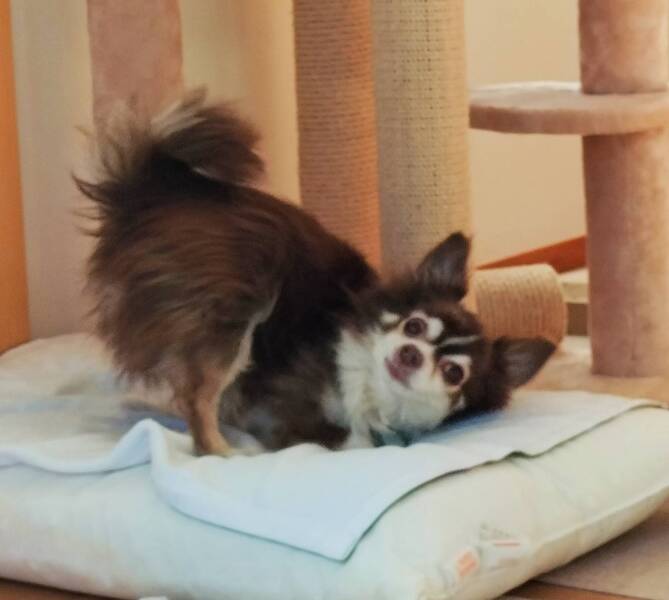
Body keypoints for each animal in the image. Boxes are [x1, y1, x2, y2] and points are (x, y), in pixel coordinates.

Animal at [75, 89, 555, 455]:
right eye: (414, 326)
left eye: (455, 373)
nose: (409, 354)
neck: (369, 386)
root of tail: (149, 195)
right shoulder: (282, 406)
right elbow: (347, 438)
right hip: (240, 300)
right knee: (197, 398)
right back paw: (222, 452)